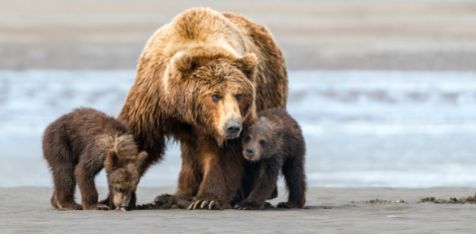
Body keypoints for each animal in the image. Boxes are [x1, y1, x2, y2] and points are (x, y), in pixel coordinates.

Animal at [121, 7, 288, 209]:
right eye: (215, 96)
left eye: (239, 95)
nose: (233, 126)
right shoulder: (153, 99)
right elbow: (140, 139)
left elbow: (222, 154)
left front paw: (207, 199)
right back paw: (173, 197)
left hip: (270, 90)